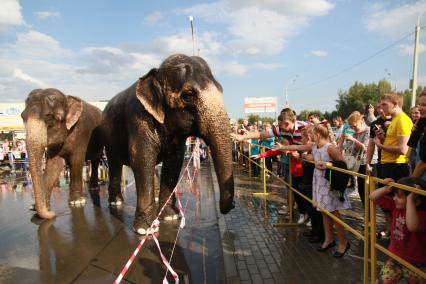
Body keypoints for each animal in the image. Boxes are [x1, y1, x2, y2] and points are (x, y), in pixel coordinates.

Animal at [21, 87, 104, 219]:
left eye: (49, 116)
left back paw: (94, 188)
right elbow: (54, 164)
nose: (54, 214)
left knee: (96, 159)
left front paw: (76, 202)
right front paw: (36, 207)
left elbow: (77, 159)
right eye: (22, 117)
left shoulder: (81, 131)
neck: (66, 98)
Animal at [101, 53, 235, 235]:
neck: (156, 74)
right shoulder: (137, 117)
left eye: (221, 89)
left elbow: (174, 161)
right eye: (188, 95)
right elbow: (141, 158)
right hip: (108, 138)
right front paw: (145, 229)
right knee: (115, 164)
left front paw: (171, 217)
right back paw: (116, 203)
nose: (231, 206)